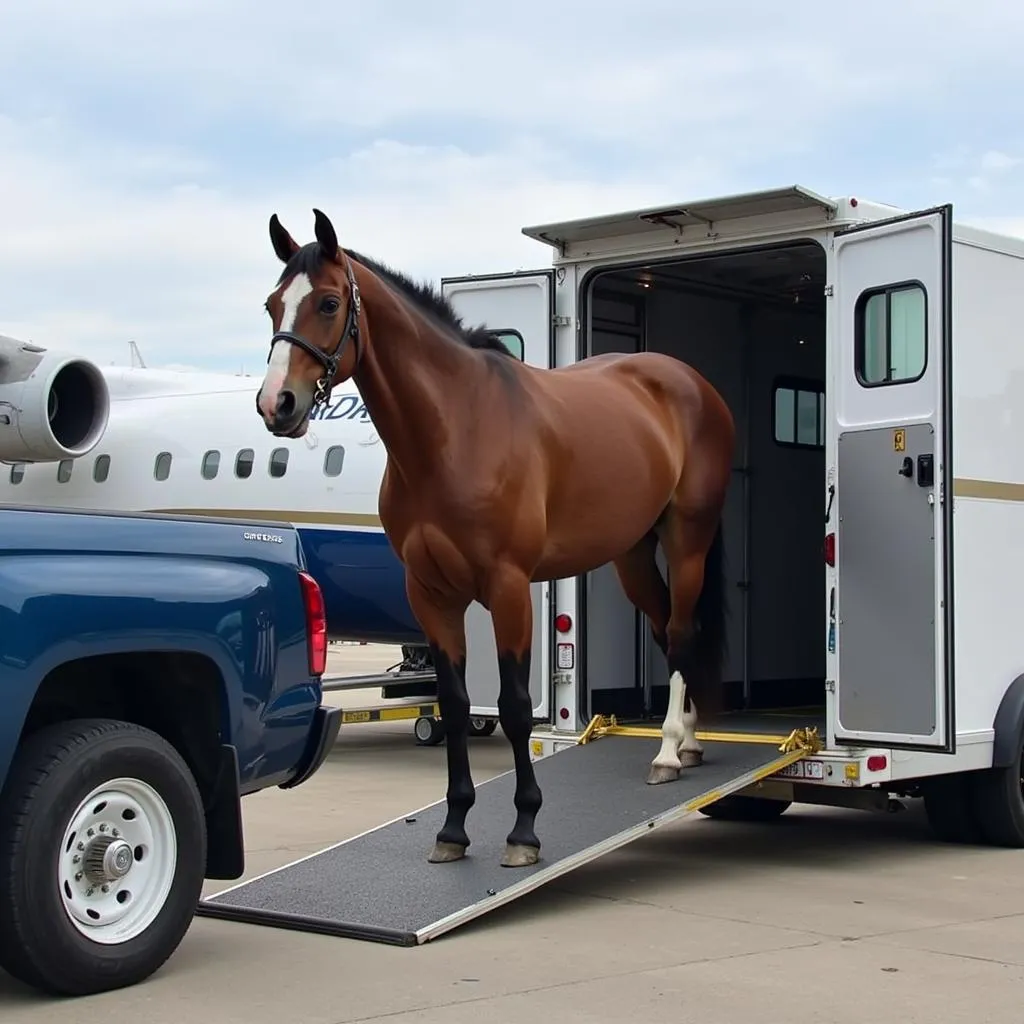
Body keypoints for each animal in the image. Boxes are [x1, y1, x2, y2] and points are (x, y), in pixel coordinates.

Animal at [256, 211, 737, 868]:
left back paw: (667, 751)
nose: (276, 405)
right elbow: (455, 705)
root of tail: (688, 382)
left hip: (688, 538)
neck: (454, 431)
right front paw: (453, 828)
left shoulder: (509, 589)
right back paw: (687, 744)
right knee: (666, 630)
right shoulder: (431, 595)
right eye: (272, 304)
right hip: (634, 555)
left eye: (329, 303)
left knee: (684, 630)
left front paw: (524, 831)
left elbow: (512, 708)